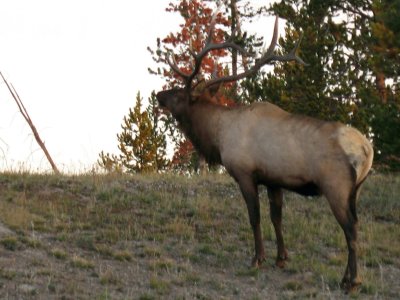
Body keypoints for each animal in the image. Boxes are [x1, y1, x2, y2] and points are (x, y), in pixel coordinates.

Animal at [155, 12, 372, 292]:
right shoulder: (273, 180)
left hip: (336, 186)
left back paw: (352, 281)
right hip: (355, 191)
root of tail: (367, 149)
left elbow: (255, 216)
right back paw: (346, 277)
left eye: (179, 93)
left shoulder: (246, 173)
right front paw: (281, 258)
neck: (218, 135)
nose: (159, 94)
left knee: (351, 228)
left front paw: (257, 258)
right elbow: (276, 217)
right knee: (353, 225)